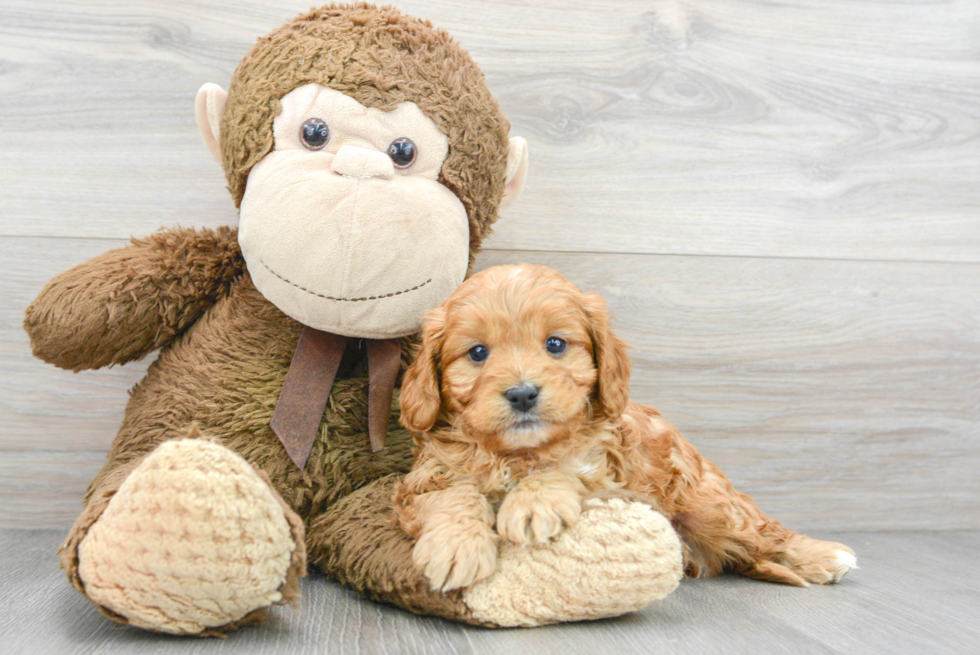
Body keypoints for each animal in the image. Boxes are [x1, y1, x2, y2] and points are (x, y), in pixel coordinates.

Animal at [394, 264, 852, 592]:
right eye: (477, 353)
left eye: (555, 344)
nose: (523, 394)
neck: (516, 453)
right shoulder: (421, 480)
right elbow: (453, 495)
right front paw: (457, 546)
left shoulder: (608, 471)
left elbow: (566, 468)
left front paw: (533, 503)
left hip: (711, 506)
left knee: (765, 531)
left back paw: (824, 555)